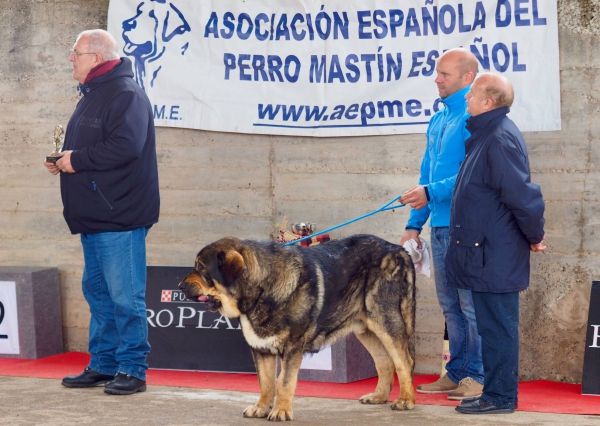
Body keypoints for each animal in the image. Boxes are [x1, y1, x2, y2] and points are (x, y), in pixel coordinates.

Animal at [178, 235, 414, 422]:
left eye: (201, 267)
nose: (180, 286)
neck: (262, 290)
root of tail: (399, 250)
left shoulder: (292, 347)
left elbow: (284, 381)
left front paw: (281, 411)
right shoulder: (260, 348)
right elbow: (266, 383)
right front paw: (261, 408)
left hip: (385, 320)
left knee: (403, 361)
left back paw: (406, 400)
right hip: (365, 329)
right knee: (384, 362)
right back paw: (379, 396)